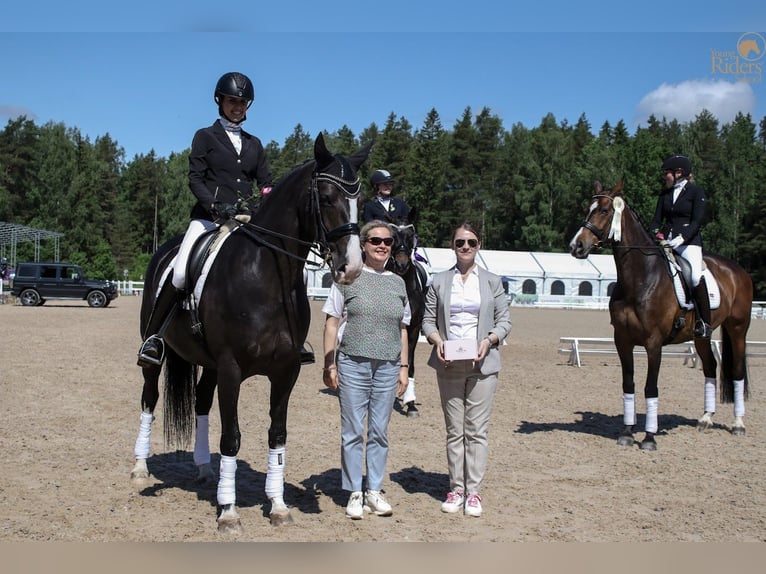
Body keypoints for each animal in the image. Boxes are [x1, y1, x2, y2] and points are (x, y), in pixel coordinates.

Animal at [130, 136, 370, 536]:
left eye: (361, 200)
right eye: (326, 196)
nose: (350, 268)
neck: (266, 276)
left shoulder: (285, 372)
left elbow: (277, 435)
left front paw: (277, 505)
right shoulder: (231, 369)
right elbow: (232, 437)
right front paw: (229, 512)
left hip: (209, 364)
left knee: (200, 403)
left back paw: (203, 468)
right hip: (158, 353)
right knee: (150, 397)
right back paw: (139, 468)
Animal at [568, 180, 756, 450]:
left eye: (604, 210)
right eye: (587, 209)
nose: (577, 246)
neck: (640, 278)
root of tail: (737, 270)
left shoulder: (653, 343)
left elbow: (650, 387)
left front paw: (649, 437)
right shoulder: (622, 341)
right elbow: (628, 384)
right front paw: (627, 433)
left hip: (738, 328)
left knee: (738, 371)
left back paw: (738, 424)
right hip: (701, 335)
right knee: (710, 367)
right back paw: (706, 419)